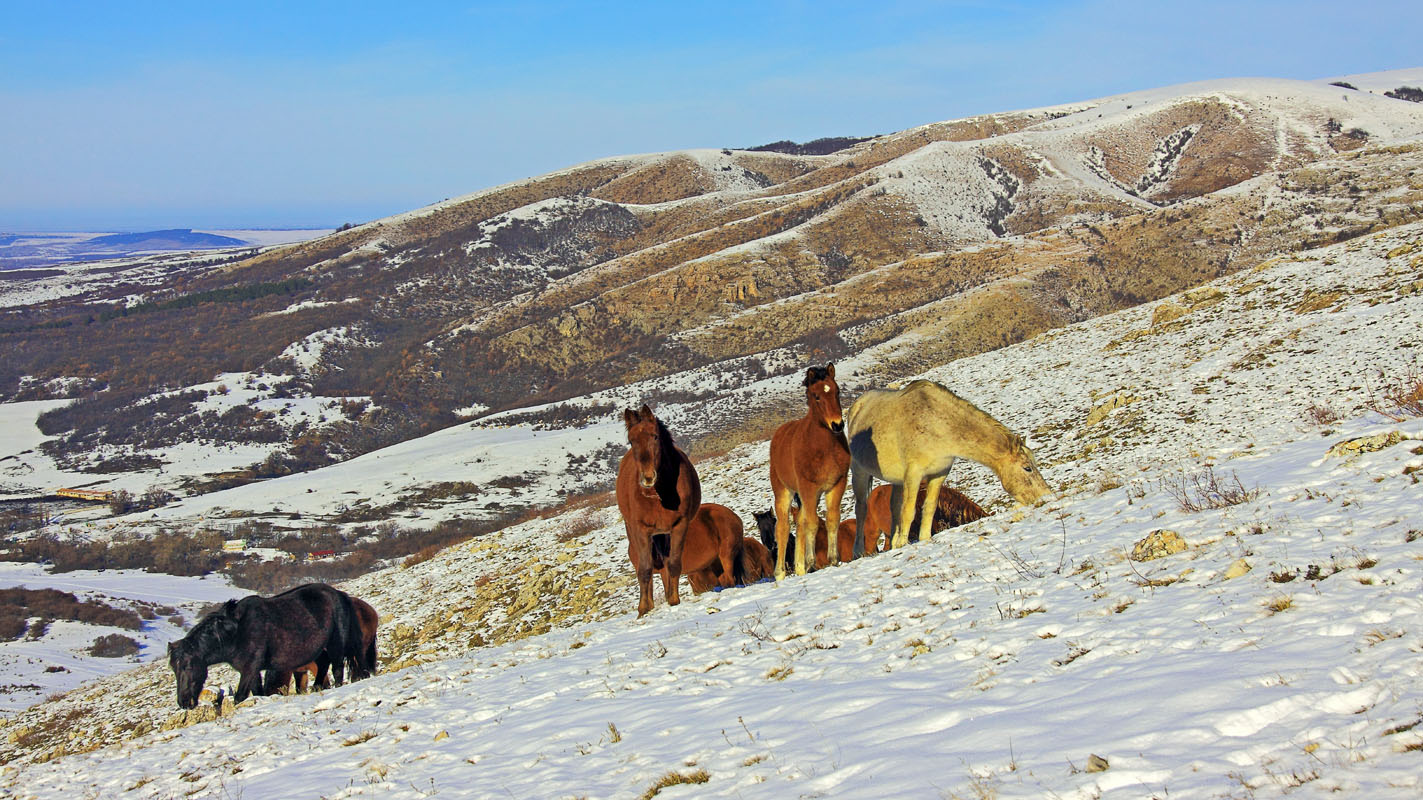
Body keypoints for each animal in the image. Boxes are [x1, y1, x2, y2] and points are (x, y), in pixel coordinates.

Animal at [166, 577, 361, 703]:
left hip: (336, 644)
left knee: (337, 669)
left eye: (188, 666)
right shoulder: (252, 671)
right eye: (174, 669)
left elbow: (240, 697)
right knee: (323, 665)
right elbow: (258, 692)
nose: (184, 702)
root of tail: (340, 594)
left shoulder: (249, 668)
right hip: (318, 650)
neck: (236, 632)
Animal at [617, 404, 700, 617]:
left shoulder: (679, 526)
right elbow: (645, 569)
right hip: (636, 532)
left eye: (655, 436)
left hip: (664, 534)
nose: (647, 478)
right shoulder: (641, 530)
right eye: (631, 441)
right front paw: (643, 609)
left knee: (665, 564)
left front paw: (674, 600)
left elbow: (674, 564)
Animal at [774, 361, 848, 572]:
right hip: (784, 491)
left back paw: (800, 568)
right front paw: (811, 561)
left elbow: (832, 518)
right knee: (783, 527)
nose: (837, 425)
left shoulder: (836, 484)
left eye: (837, 391)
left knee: (800, 522)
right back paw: (780, 572)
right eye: (816, 396)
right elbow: (812, 523)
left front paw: (833, 559)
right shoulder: (808, 487)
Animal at [848, 375, 1053, 552]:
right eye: (1027, 468)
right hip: (859, 472)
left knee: (894, 507)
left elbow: (928, 508)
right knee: (861, 509)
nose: (1046, 496)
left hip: (897, 480)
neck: (936, 423)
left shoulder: (940, 473)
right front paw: (903, 545)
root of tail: (858, 405)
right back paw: (858, 552)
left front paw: (923, 539)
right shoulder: (914, 474)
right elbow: (909, 511)